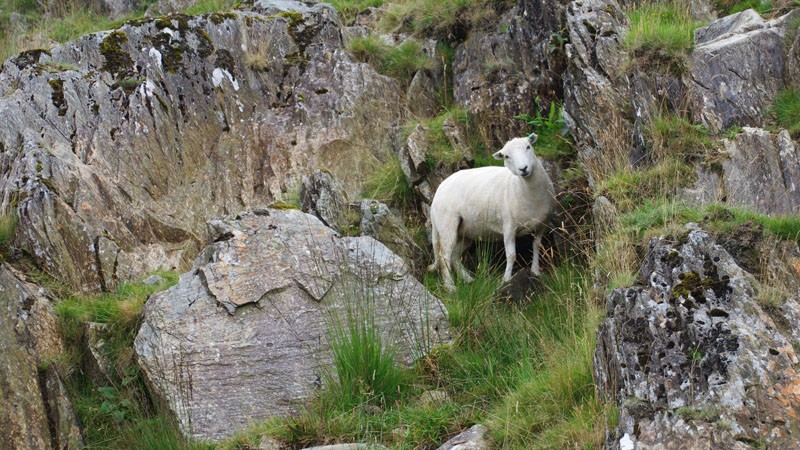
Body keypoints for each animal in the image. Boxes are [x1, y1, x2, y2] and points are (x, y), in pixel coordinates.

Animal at [428, 134, 552, 292]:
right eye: (506, 156)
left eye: (528, 147)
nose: (523, 168)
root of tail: (438, 191)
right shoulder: (509, 227)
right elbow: (511, 255)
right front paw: (506, 281)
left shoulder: (542, 224)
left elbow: (536, 246)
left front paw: (535, 272)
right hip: (447, 224)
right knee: (444, 257)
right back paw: (451, 287)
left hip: (465, 231)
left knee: (455, 256)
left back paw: (468, 279)